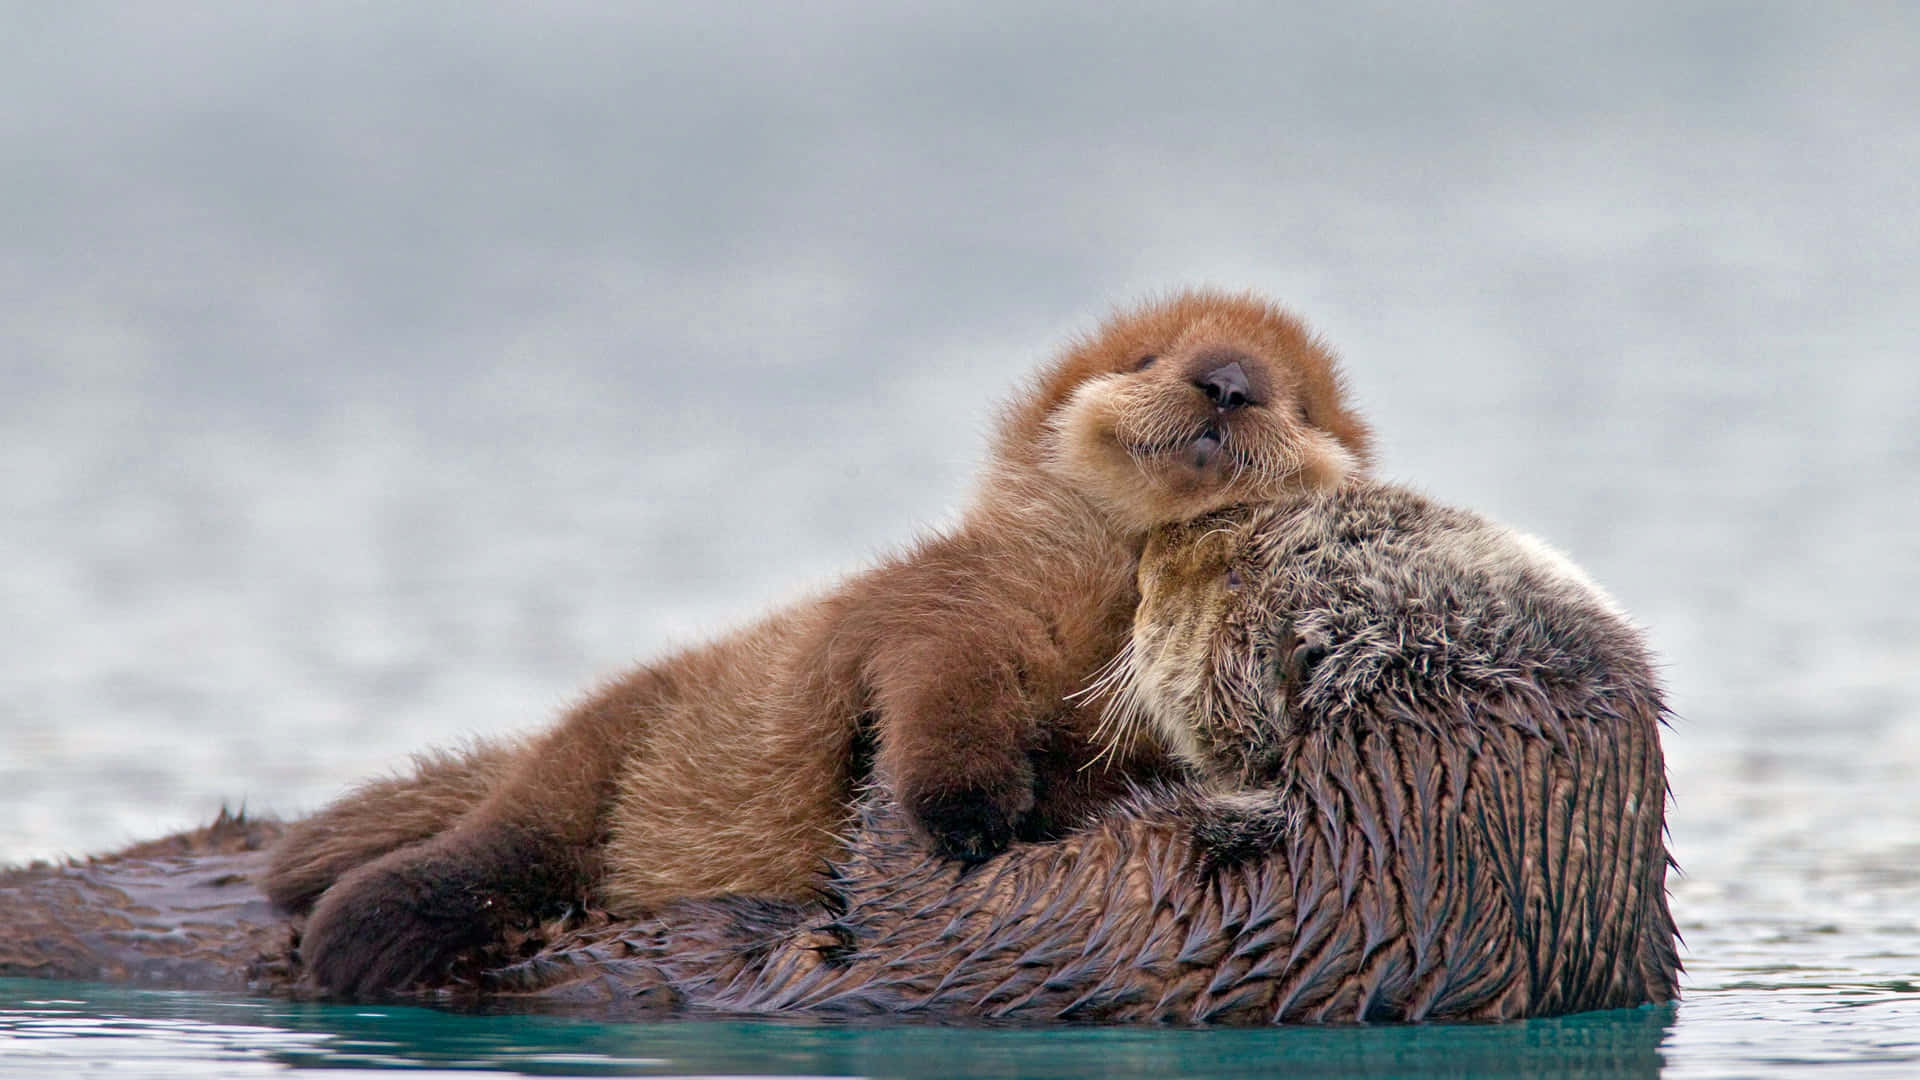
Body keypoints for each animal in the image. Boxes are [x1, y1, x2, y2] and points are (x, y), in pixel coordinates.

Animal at [263, 286, 1374, 991]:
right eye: (1146, 359)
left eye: (1299, 401)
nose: (1225, 381)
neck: (1104, 596)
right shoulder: (949, 603)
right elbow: (937, 687)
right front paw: (966, 811)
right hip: (594, 752)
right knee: (498, 846)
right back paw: (363, 929)